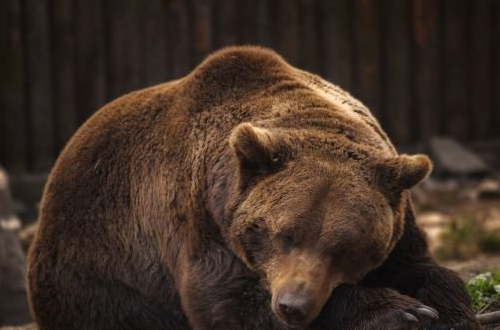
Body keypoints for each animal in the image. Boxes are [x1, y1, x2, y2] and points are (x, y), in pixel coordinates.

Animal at [26, 46, 476, 330]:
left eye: (345, 247)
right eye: (285, 234)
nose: (293, 306)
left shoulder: (398, 218)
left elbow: (426, 268)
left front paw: (446, 310)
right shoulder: (202, 221)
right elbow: (228, 303)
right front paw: (401, 312)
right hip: (98, 274)